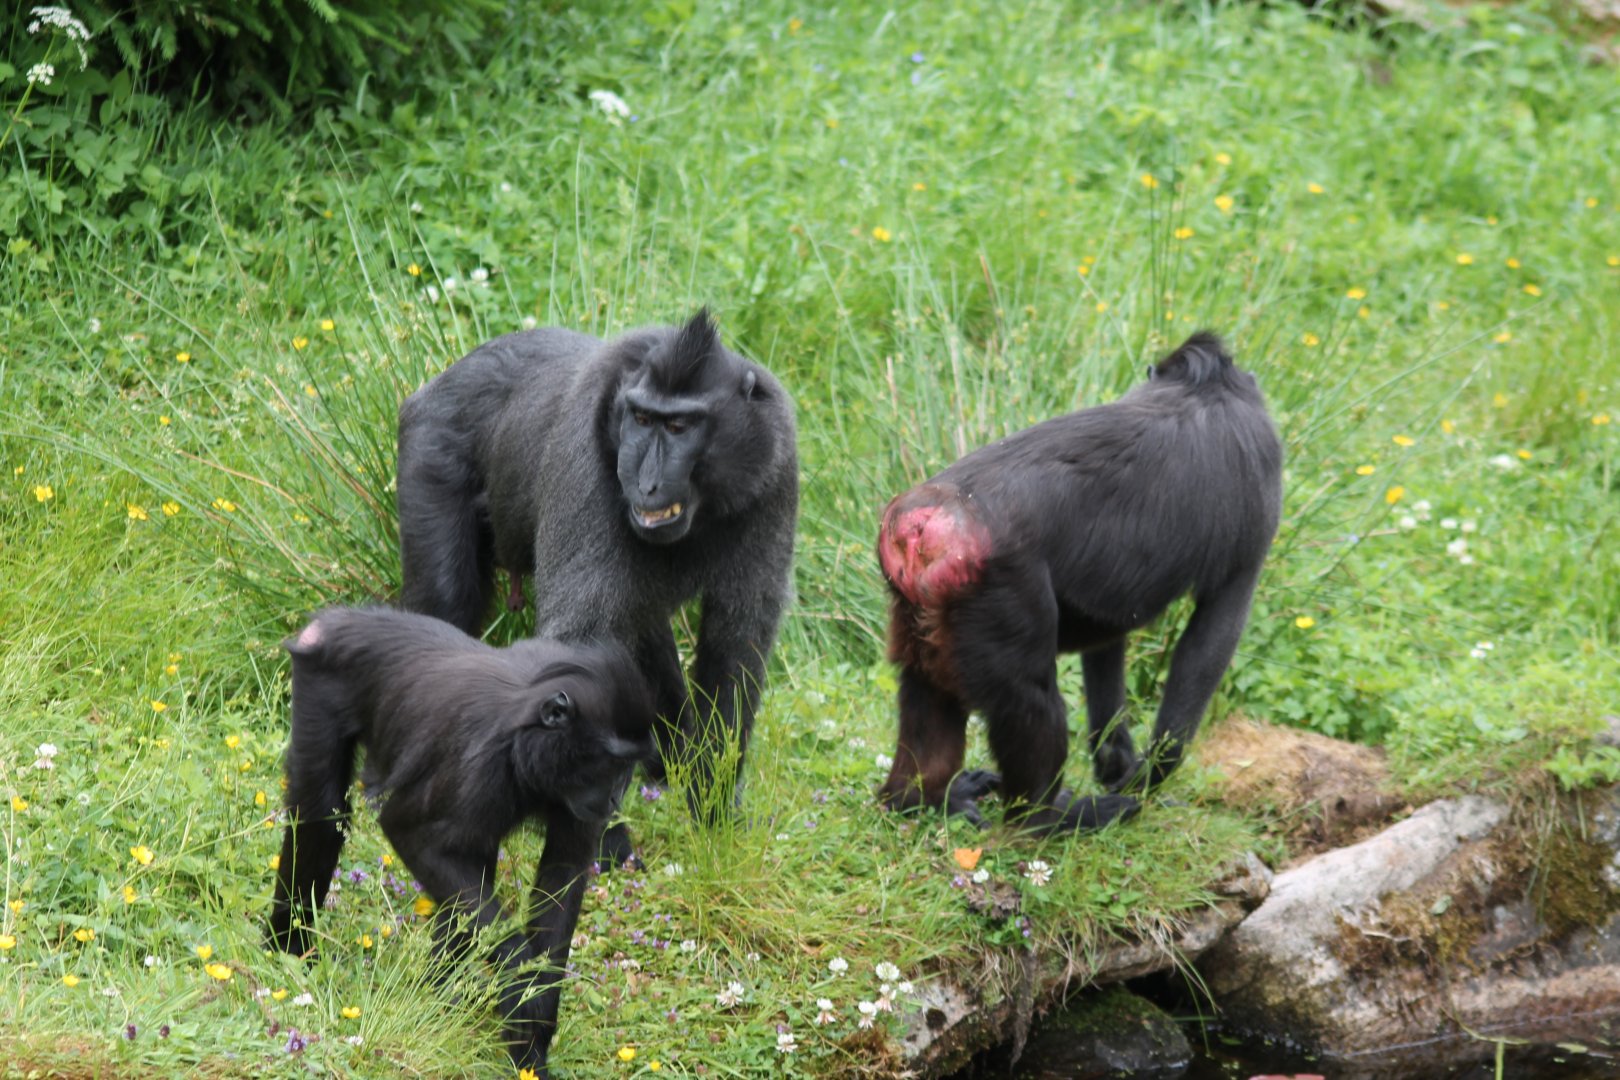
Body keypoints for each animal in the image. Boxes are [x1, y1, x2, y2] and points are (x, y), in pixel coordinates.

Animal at [266, 606, 657, 1076]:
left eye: (628, 767)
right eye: (612, 764)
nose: (617, 796)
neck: (526, 727)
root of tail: (339, 620)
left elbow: (562, 875)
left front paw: (533, 1042)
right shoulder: (478, 765)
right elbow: (409, 832)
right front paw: (522, 985)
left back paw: (437, 998)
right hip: (318, 687)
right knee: (321, 817)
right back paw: (288, 949)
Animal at [396, 310, 797, 852]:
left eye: (679, 425)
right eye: (641, 419)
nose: (645, 482)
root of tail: (444, 379)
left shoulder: (775, 470)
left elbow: (735, 643)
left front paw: (714, 815)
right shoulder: (585, 463)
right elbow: (579, 648)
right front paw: (602, 845)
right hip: (430, 454)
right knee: (446, 602)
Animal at [875, 331, 1283, 833]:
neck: (1204, 388)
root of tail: (925, 523)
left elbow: (1107, 627)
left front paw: (1116, 759)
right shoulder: (1260, 500)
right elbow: (1208, 644)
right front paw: (1150, 774)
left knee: (927, 689)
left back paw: (922, 799)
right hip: (998, 591)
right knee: (1033, 701)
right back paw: (1050, 818)